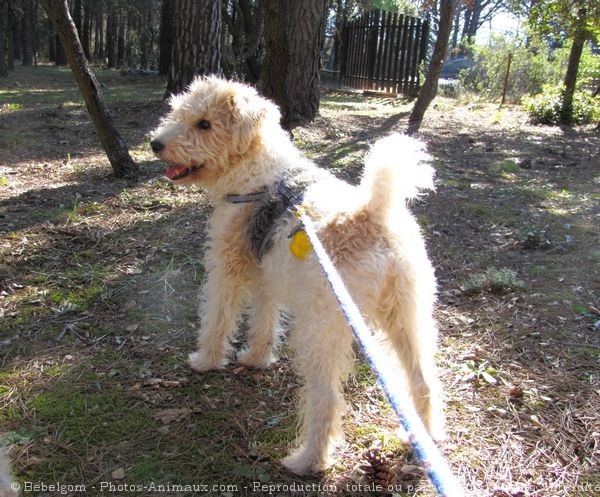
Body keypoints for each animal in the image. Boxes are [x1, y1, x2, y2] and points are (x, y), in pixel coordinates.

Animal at [150, 76, 442, 472]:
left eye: (205, 124)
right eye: (180, 112)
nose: (155, 144)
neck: (254, 175)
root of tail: (373, 213)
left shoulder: (226, 269)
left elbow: (218, 318)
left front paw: (206, 361)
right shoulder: (267, 275)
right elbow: (264, 320)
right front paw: (256, 358)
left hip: (322, 328)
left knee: (328, 399)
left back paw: (307, 461)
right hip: (407, 313)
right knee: (424, 381)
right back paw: (420, 441)